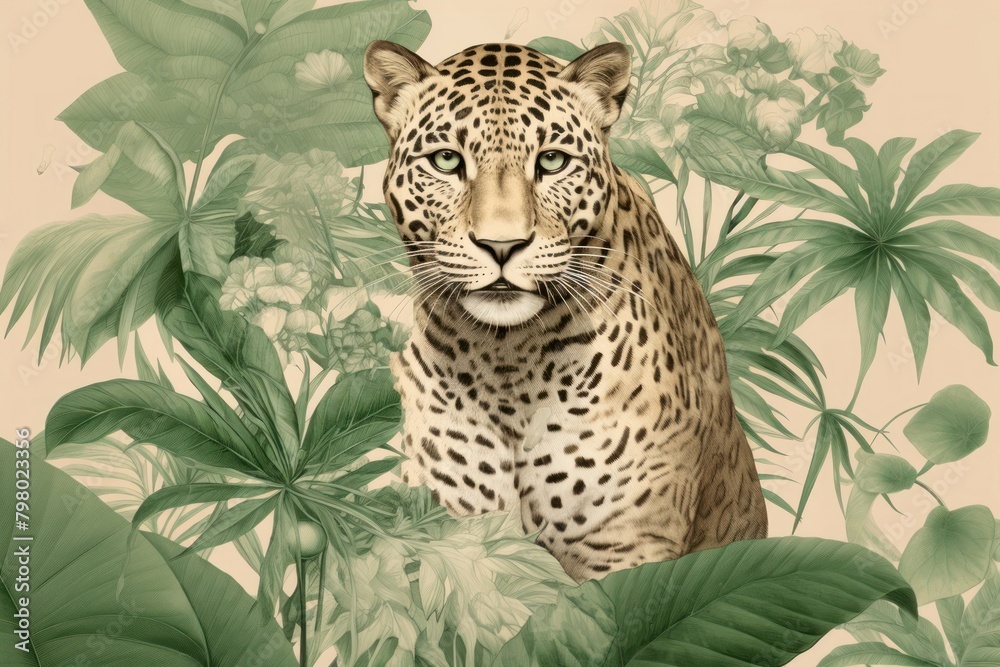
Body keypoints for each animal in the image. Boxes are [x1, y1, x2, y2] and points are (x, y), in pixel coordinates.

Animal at [363, 39, 767, 582]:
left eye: (552, 161)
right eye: (446, 160)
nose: (502, 245)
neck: (506, 363)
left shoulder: (627, 548)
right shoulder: (449, 537)